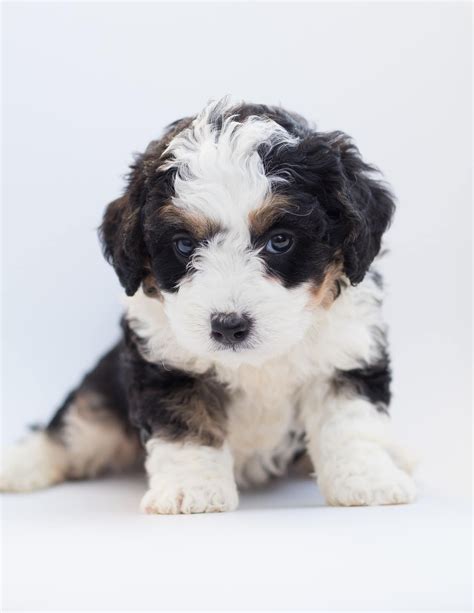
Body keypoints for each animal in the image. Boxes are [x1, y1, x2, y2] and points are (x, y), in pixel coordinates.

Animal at [0, 99, 414, 512]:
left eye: (280, 240)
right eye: (184, 245)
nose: (229, 326)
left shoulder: (345, 352)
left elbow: (351, 420)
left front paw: (367, 481)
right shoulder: (165, 361)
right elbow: (186, 424)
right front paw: (191, 489)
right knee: (74, 428)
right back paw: (19, 465)